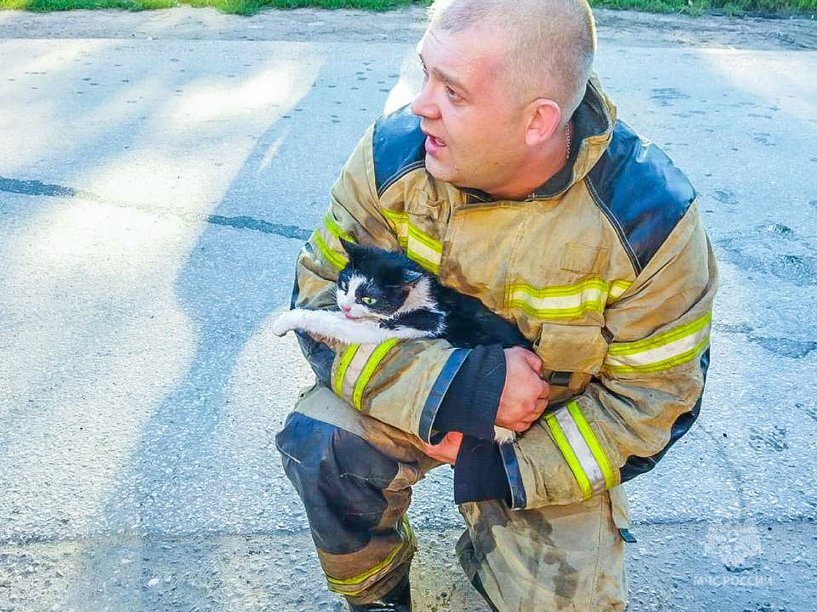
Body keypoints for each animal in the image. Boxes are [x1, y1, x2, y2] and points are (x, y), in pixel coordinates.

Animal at [270, 239, 532, 444]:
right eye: (344, 285)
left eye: (368, 299)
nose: (345, 306)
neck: (417, 295)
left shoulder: (401, 324)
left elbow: (332, 322)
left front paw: (285, 321)